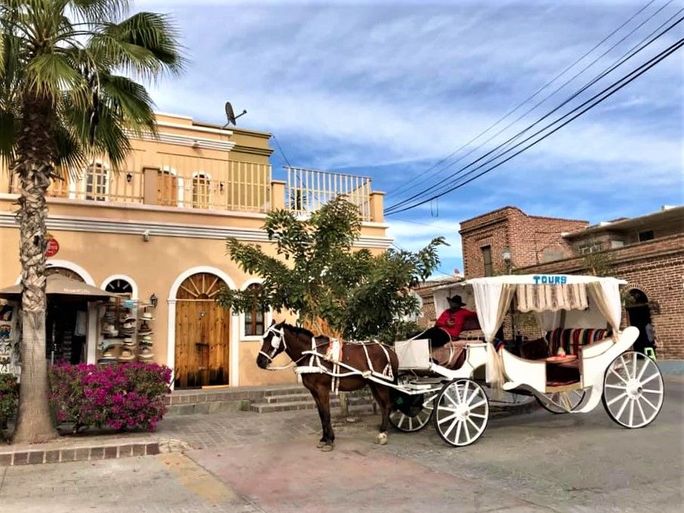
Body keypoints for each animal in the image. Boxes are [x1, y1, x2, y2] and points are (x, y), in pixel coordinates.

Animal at [256, 322, 398, 450]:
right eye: (264, 338)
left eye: (272, 338)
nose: (260, 361)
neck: (311, 355)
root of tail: (390, 350)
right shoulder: (314, 391)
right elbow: (321, 414)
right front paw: (324, 439)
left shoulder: (322, 389)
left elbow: (326, 414)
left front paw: (329, 441)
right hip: (374, 384)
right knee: (383, 406)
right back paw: (382, 430)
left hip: (381, 384)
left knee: (387, 405)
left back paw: (382, 434)